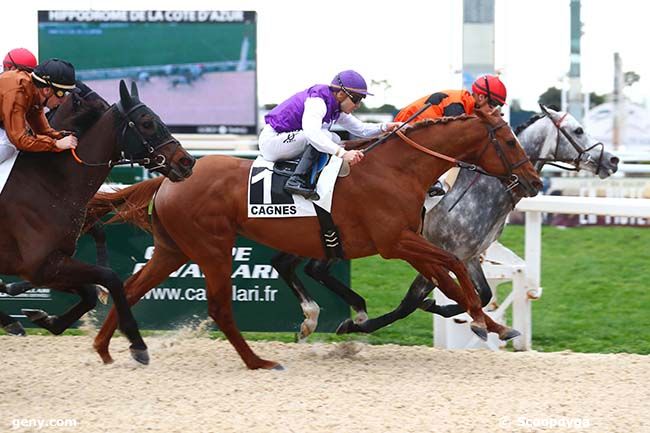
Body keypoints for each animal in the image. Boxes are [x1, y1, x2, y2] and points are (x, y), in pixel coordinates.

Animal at [0, 80, 194, 362]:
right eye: (147, 122)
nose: (187, 161)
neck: (48, 183)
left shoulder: (52, 264)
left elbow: (91, 292)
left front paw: (48, 320)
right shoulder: (40, 265)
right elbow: (110, 278)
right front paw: (137, 342)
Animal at [86, 107, 540, 368]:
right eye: (508, 139)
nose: (534, 181)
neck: (396, 170)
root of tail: (168, 179)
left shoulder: (409, 241)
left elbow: (447, 276)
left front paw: (491, 325)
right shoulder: (396, 242)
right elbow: (450, 269)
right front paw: (480, 321)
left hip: (173, 249)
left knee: (133, 286)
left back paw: (112, 347)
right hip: (212, 247)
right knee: (218, 303)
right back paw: (260, 358)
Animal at [272, 104, 616, 338]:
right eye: (578, 130)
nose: (612, 160)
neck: (483, 191)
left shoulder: (469, 255)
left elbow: (482, 294)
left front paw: (458, 312)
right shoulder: (431, 250)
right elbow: (412, 302)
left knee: (298, 265)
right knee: (304, 266)